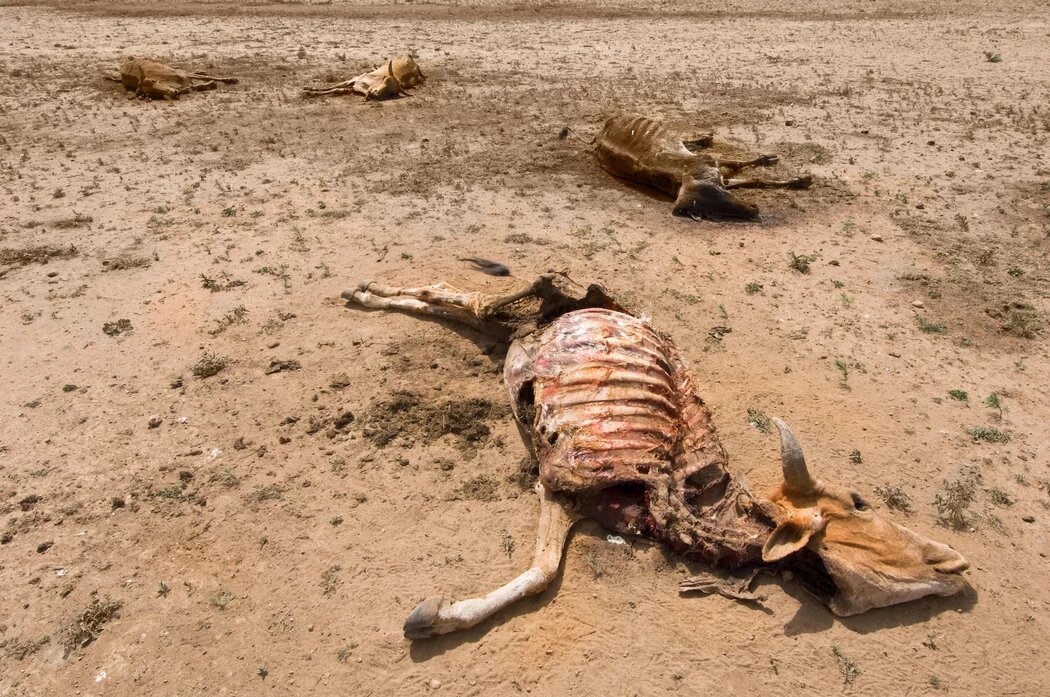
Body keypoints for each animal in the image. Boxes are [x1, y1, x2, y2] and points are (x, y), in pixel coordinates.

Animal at [104, 58, 239, 100]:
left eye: (153, 81)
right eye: (151, 94)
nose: (172, 93)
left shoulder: (183, 74)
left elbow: (207, 77)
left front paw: (232, 79)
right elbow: (194, 86)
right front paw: (210, 84)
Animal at [341, 274, 970, 639]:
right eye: (860, 501)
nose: (957, 566)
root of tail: (611, 305)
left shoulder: (568, 492)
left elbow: (544, 571)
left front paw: (438, 615)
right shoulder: (564, 477)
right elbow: (542, 573)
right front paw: (432, 617)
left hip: (522, 327)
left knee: (469, 306)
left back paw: (371, 292)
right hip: (544, 302)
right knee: (475, 292)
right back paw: (365, 292)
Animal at [588, 114, 813, 220]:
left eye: (721, 195)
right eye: (711, 214)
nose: (754, 209)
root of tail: (601, 132)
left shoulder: (712, 162)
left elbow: (747, 170)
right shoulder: (719, 173)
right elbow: (753, 178)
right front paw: (799, 179)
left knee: (685, 139)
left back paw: (705, 137)